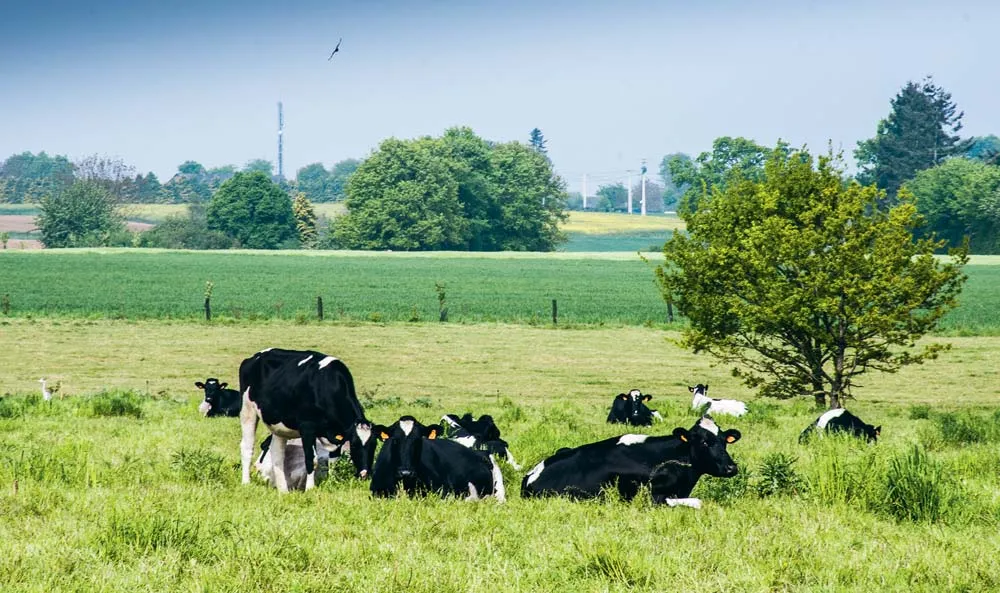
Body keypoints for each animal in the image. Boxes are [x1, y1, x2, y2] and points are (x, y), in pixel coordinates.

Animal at [238, 347, 371, 492]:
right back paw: (246, 482)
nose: (365, 473)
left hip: (278, 425)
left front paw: (331, 482)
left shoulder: (337, 434)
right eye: (354, 445)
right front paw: (310, 489)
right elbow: (312, 459)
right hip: (247, 410)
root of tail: (254, 357)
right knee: (247, 446)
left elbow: (334, 460)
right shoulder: (307, 428)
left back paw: (283, 490)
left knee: (277, 454)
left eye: (374, 444)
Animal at [369, 421, 505, 502]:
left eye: (418, 440)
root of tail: (482, 452)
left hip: (499, 493)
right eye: (395, 440)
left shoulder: (445, 491)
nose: (406, 472)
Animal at [521, 416, 741, 508]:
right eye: (704, 442)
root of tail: (529, 476)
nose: (731, 467)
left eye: (724, 441)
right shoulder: (653, 496)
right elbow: (698, 501)